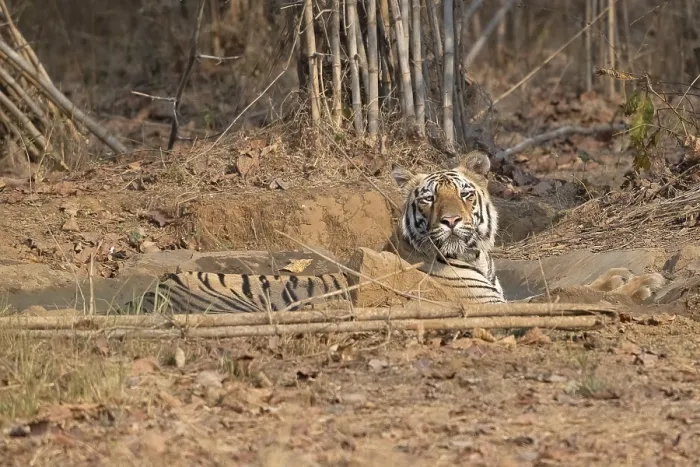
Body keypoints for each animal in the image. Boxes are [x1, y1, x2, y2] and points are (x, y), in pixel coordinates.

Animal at [120, 150, 665, 314]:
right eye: (428, 198)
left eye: (463, 194)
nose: (450, 221)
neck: (476, 256)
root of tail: (149, 291)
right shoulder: (483, 305)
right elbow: (559, 294)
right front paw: (639, 285)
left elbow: (566, 286)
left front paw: (623, 277)